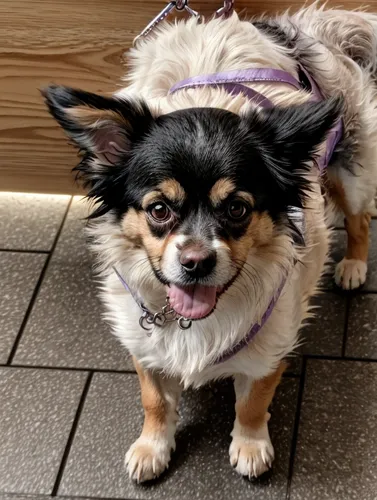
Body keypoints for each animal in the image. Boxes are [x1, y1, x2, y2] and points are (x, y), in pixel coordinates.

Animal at [42, 4, 376, 484]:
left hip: (352, 173)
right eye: (159, 209)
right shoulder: (142, 340)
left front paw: (251, 446)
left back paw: (352, 266)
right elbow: (154, 399)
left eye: (237, 209)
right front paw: (152, 446)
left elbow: (253, 401)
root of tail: (306, 28)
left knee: (360, 216)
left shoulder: (271, 340)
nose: (196, 262)